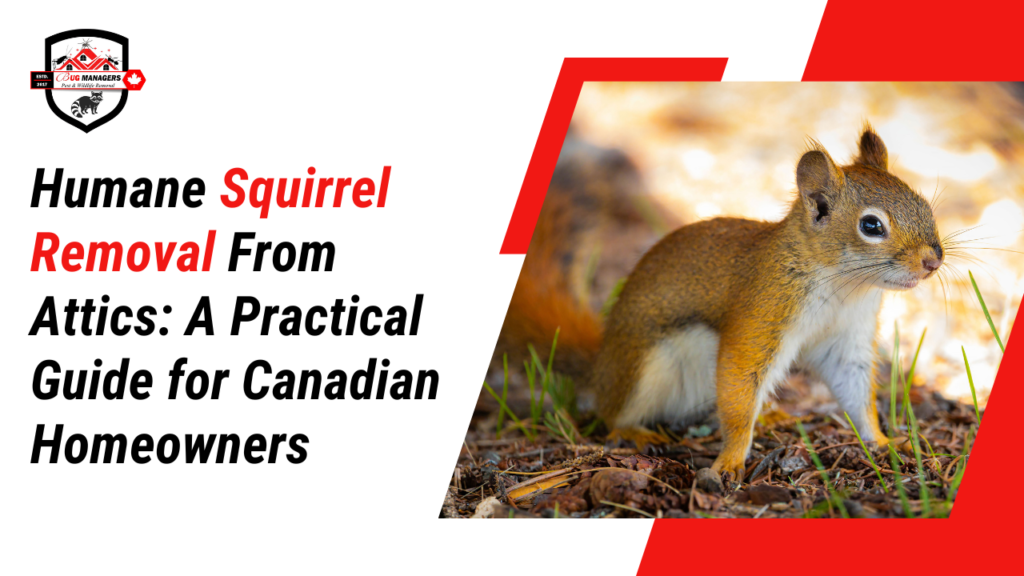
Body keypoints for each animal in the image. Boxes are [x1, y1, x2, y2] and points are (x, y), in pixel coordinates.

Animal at [499, 126, 943, 483]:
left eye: (923, 204)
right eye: (871, 225)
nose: (933, 261)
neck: (843, 286)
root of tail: (601, 365)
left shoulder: (847, 337)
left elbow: (856, 395)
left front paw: (884, 440)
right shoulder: (762, 312)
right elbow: (738, 386)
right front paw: (729, 461)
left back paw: (770, 415)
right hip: (645, 367)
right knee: (610, 413)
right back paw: (633, 431)